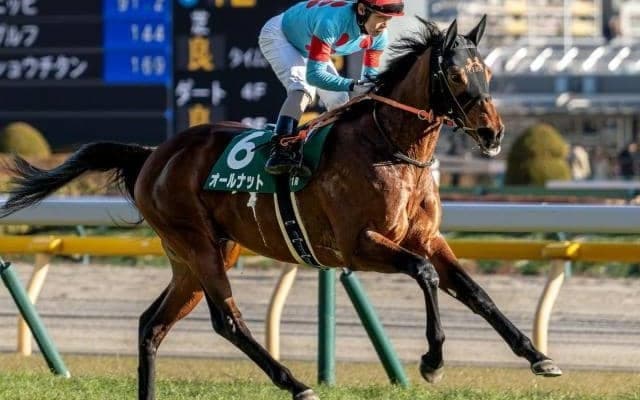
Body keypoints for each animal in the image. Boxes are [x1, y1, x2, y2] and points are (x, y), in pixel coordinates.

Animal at [0, 17, 561, 400]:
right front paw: (432, 360)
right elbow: (423, 274)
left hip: (202, 252)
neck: (391, 148)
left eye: (487, 72)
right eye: (457, 74)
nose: (493, 133)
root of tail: (153, 154)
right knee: (226, 321)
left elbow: (475, 292)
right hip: (196, 244)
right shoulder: (359, 246)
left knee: (151, 325)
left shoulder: (427, 237)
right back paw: (296, 383)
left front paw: (539, 357)